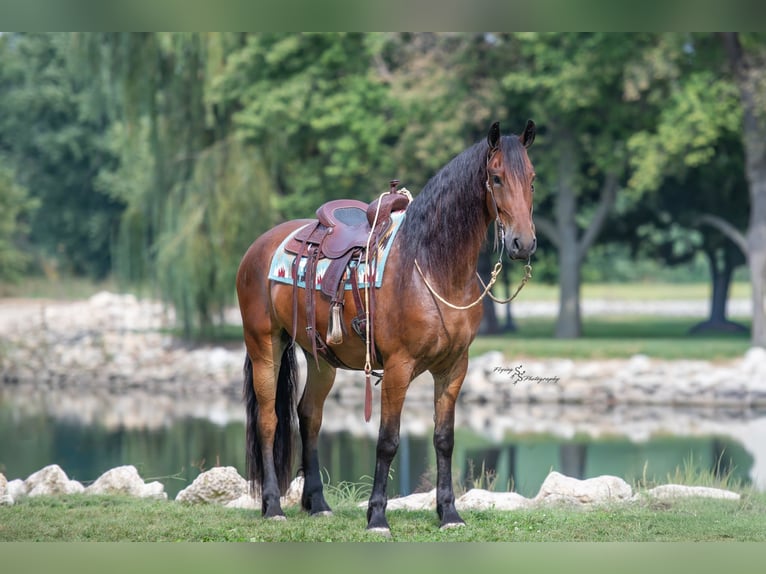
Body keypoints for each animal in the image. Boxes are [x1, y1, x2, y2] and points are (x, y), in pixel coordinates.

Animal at [235, 120, 537, 535]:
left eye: (533, 179)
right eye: (496, 177)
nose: (524, 243)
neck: (430, 266)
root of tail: (259, 247)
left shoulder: (454, 367)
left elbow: (444, 439)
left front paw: (449, 513)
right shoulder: (398, 367)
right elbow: (388, 440)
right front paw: (377, 516)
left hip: (320, 358)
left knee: (309, 416)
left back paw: (318, 504)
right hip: (265, 345)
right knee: (269, 420)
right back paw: (273, 506)